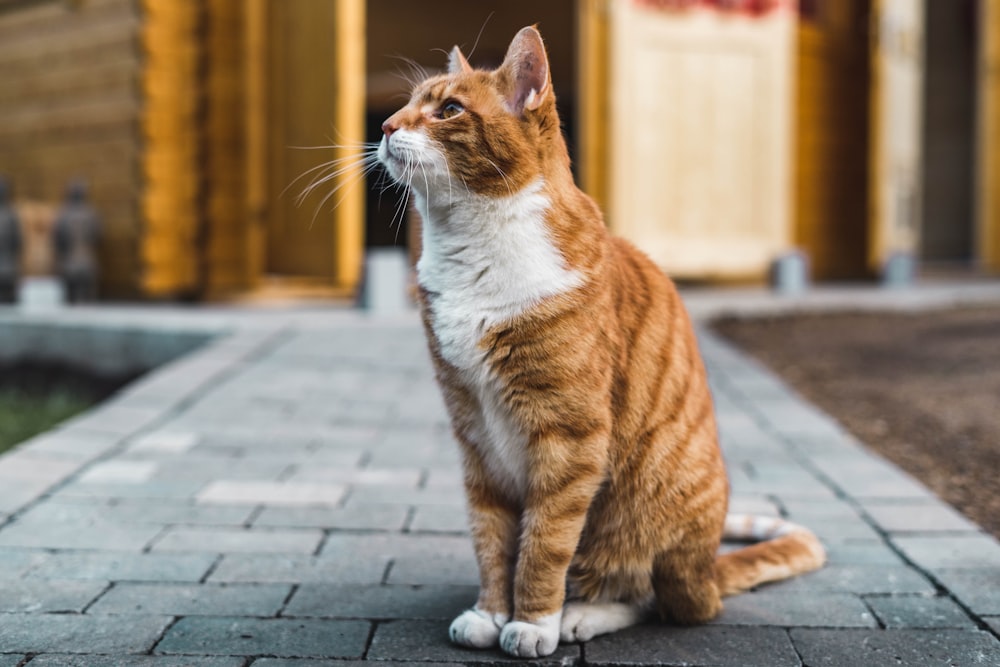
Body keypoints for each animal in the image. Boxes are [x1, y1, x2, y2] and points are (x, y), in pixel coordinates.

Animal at [378, 27, 824, 664]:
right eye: (411, 103)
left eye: (449, 110)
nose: (386, 125)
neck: (475, 250)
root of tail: (709, 571)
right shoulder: (474, 433)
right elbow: (492, 538)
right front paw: (490, 611)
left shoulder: (570, 439)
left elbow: (544, 543)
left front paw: (532, 620)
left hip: (648, 520)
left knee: (653, 596)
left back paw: (581, 615)